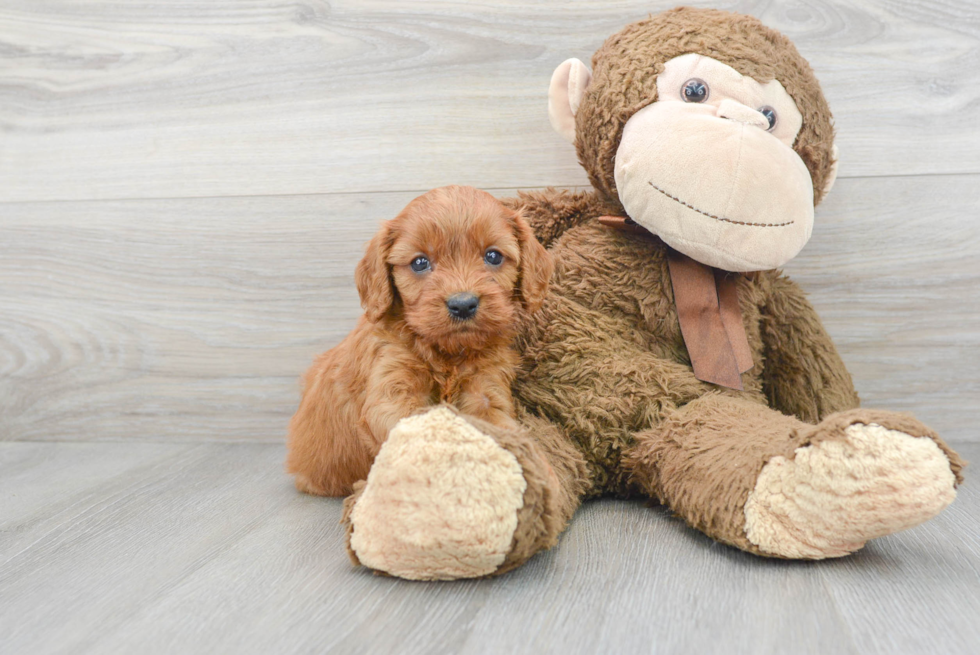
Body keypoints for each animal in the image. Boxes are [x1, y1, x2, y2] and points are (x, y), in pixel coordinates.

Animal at [288, 186, 556, 498]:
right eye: (419, 262)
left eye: (493, 256)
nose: (463, 304)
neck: (448, 353)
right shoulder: (392, 388)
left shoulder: (485, 392)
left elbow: (505, 429)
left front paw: (541, 471)